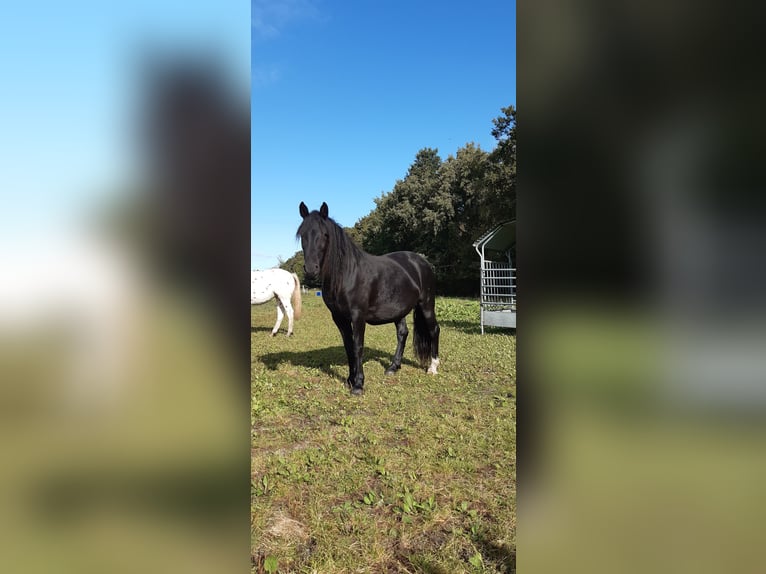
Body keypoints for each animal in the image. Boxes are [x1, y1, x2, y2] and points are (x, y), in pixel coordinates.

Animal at [300, 202, 444, 396]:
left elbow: (358, 346)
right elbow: (348, 347)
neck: (347, 274)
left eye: (324, 235)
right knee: (403, 333)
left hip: (427, 304)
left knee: (434, 330)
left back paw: (433, 367)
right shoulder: (339, 318)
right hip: (399, 310)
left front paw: (358, 385)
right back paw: (393, 367)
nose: (310, 269)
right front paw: (350, 379)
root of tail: (422, 262)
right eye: (302, 234)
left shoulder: (358, 316)